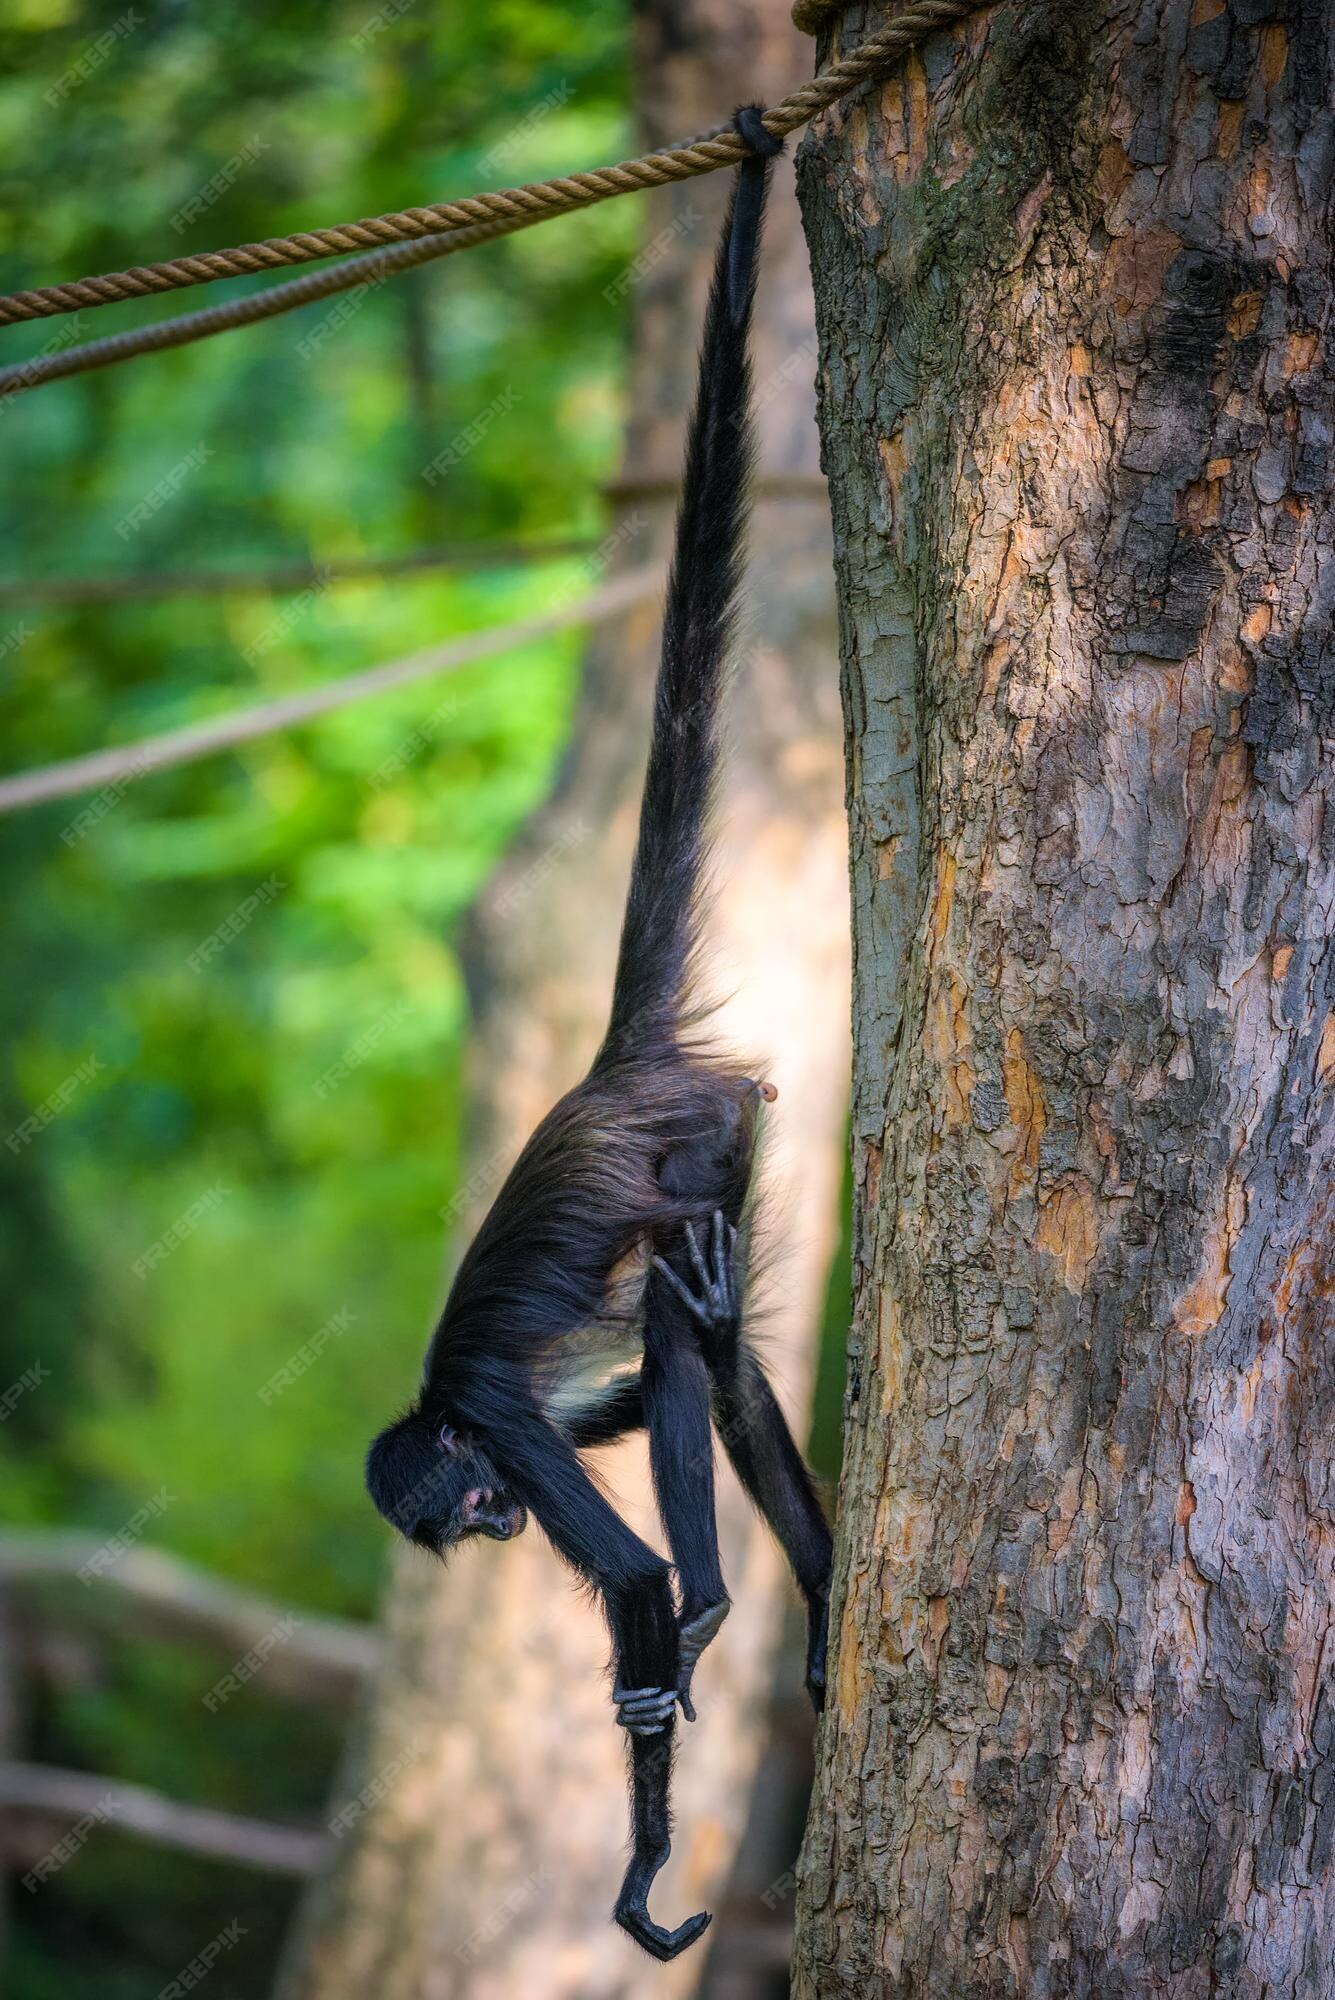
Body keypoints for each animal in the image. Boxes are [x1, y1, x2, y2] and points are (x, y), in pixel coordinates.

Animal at [365, 105, 835, 1952]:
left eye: (463, 1507)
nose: (493, 1529)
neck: (444, 1411)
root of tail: (605, 1070)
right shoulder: (531, 1420)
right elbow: (635, 1395)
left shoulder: (495, 1416)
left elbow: (622, 1565)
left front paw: (639, 1873)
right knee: (717, 1355)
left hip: (704, 1139)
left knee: (697, 1346)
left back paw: (707, 1604)